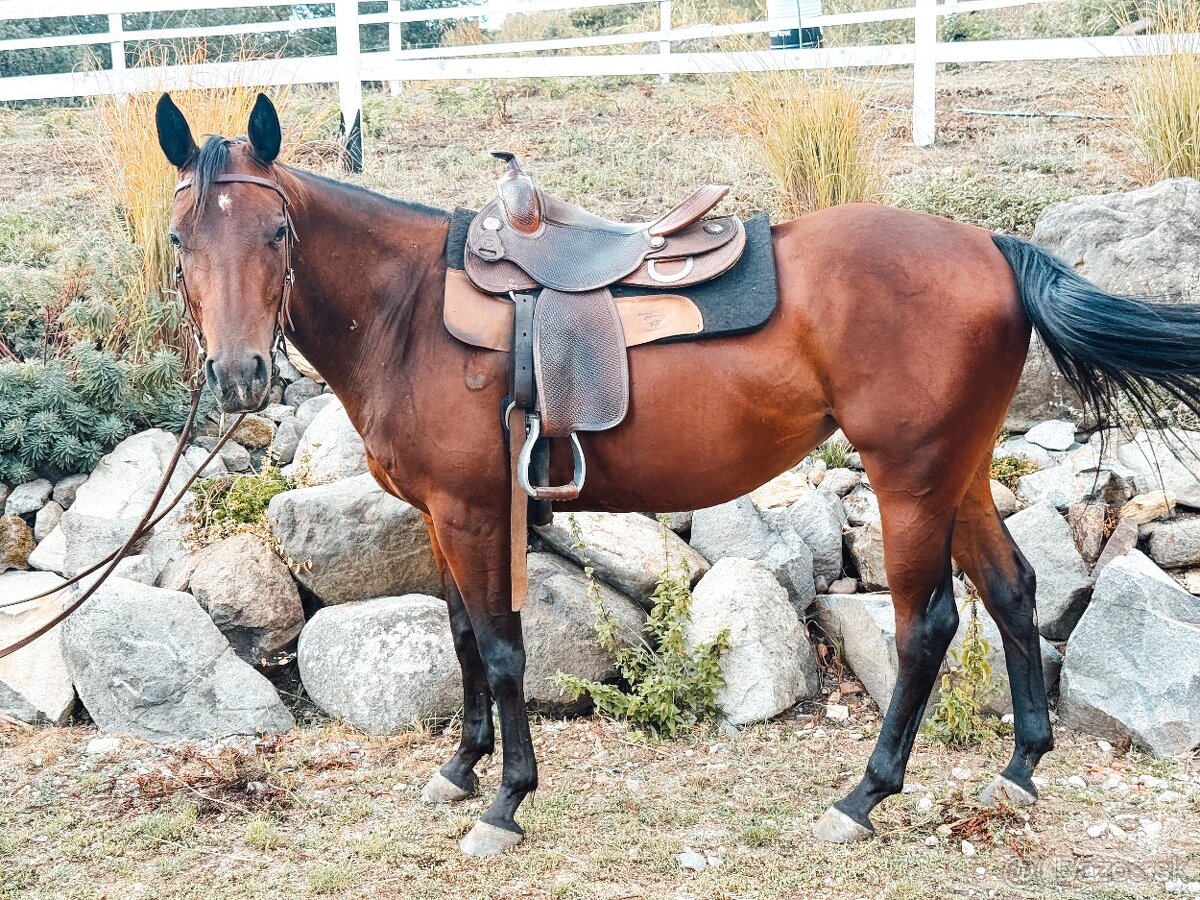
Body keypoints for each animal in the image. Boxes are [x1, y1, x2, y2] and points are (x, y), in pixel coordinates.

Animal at [154, 91, 1200, 856]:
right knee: (1015, 591)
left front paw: (505, 802)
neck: (408, 310)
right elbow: (459, 639)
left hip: (908, 478)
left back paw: (863, 795)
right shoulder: (443, 516)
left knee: (929, 625)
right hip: (959, 469)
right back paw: (1020, 770)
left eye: (277, 236)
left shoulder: (472, 511)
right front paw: (459, 771)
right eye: (180, 242)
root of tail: (991, 246)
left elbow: (500, 648)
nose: (239, 375)